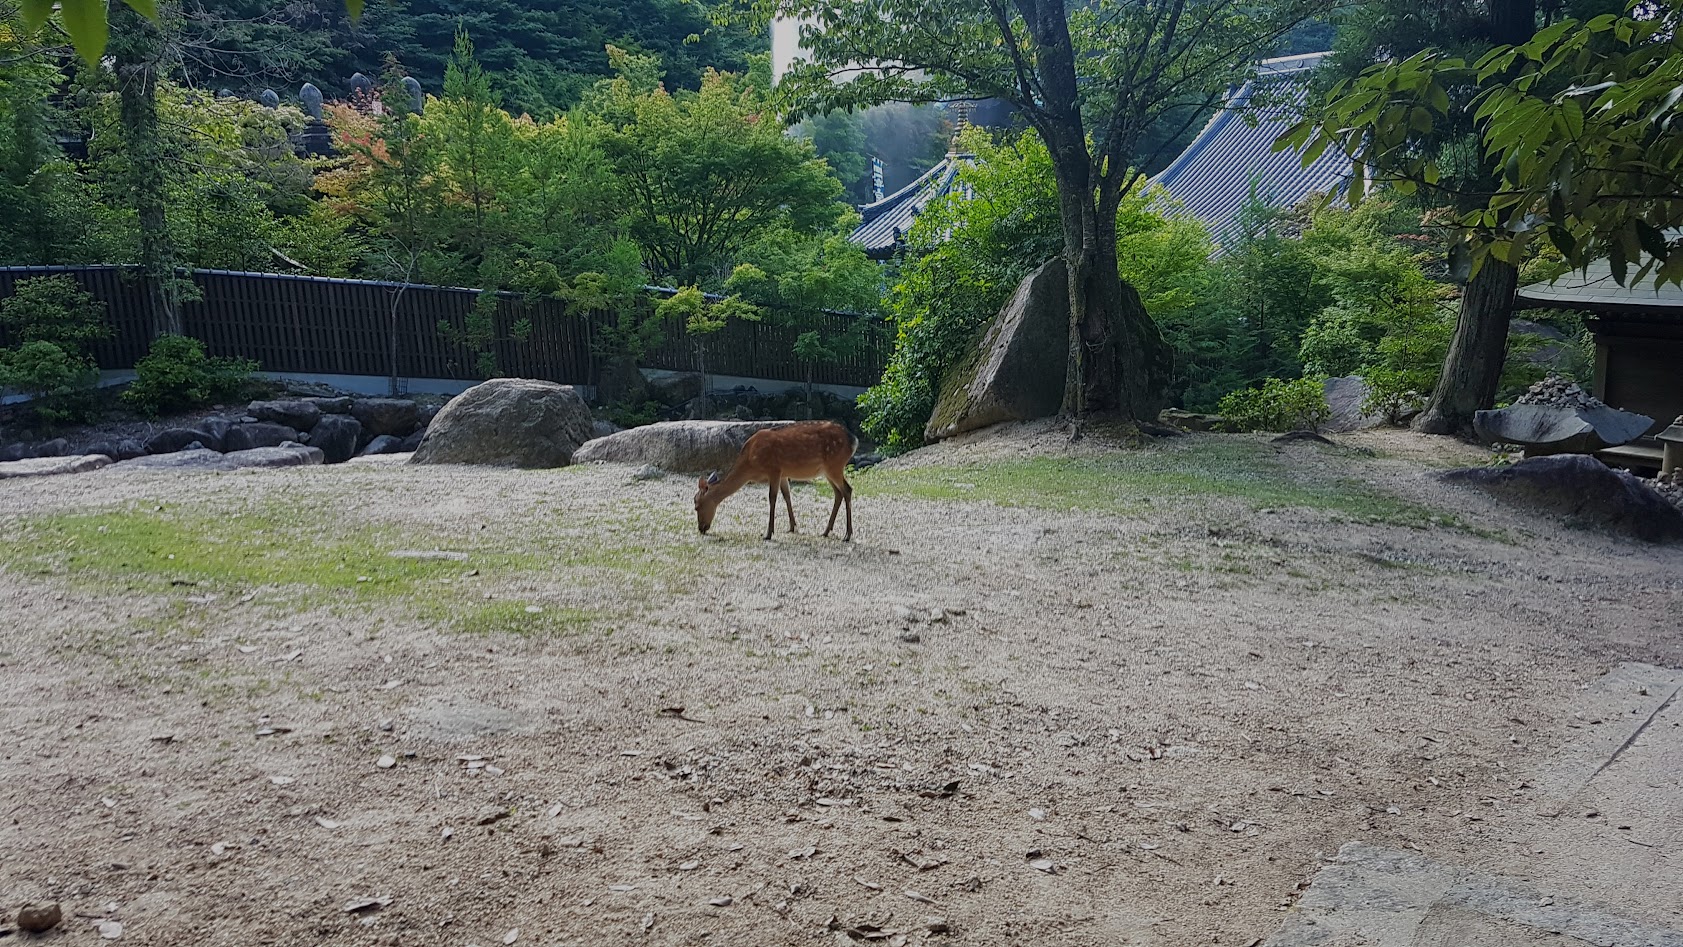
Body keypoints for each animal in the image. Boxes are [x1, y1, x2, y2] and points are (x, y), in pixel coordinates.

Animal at [693, 422, 854, 541]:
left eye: (697, 506)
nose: (701, 528)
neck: (750, 464)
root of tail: (853, 440)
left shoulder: (774, 469)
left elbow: (772, 498)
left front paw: (768, 533)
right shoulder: (783, 473)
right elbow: (787, 496)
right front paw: (792, 527)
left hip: (835, 465)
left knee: (847, 490)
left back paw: (847, 535)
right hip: (827, 471)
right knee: (838, 493)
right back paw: (826, 531)